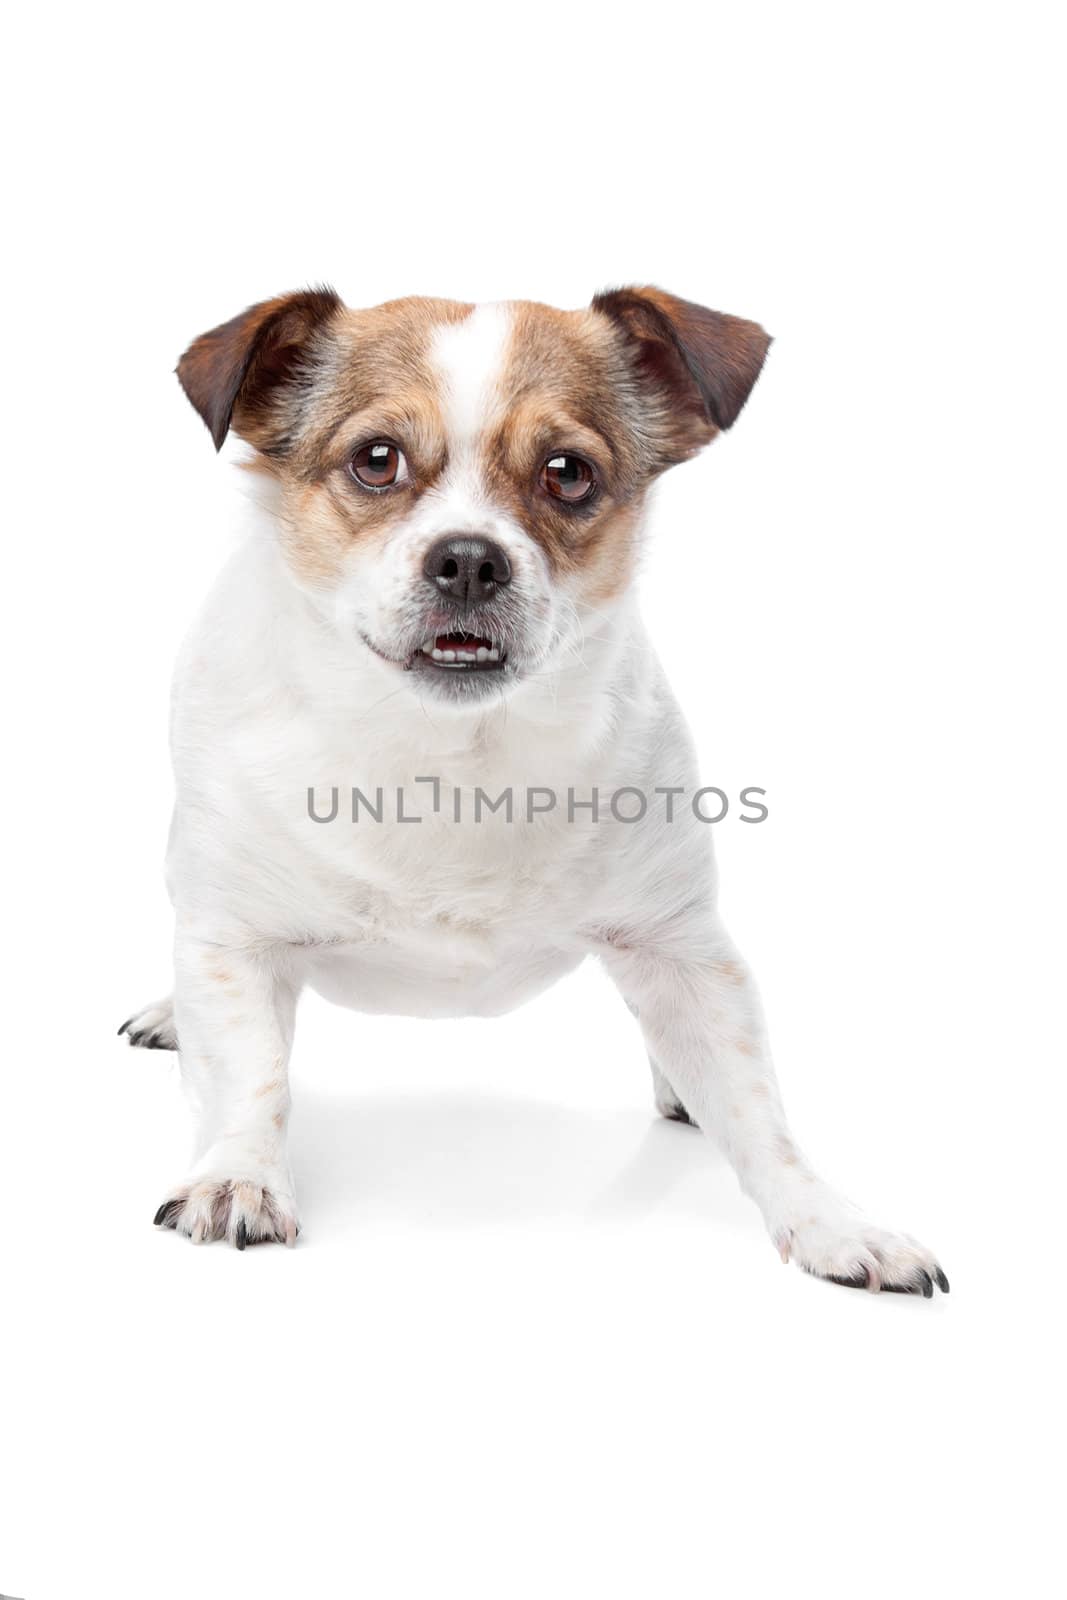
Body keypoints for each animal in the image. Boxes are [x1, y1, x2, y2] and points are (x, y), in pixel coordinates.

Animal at [120, 281, 947, 1292]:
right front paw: (237, 1174)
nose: (470, 557)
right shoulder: (232, 944)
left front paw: (830, 1219)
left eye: (567, 472)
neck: (449, 761)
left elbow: (758, 1111)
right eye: (375, 461)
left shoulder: (682, 951)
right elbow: (251, 1074)